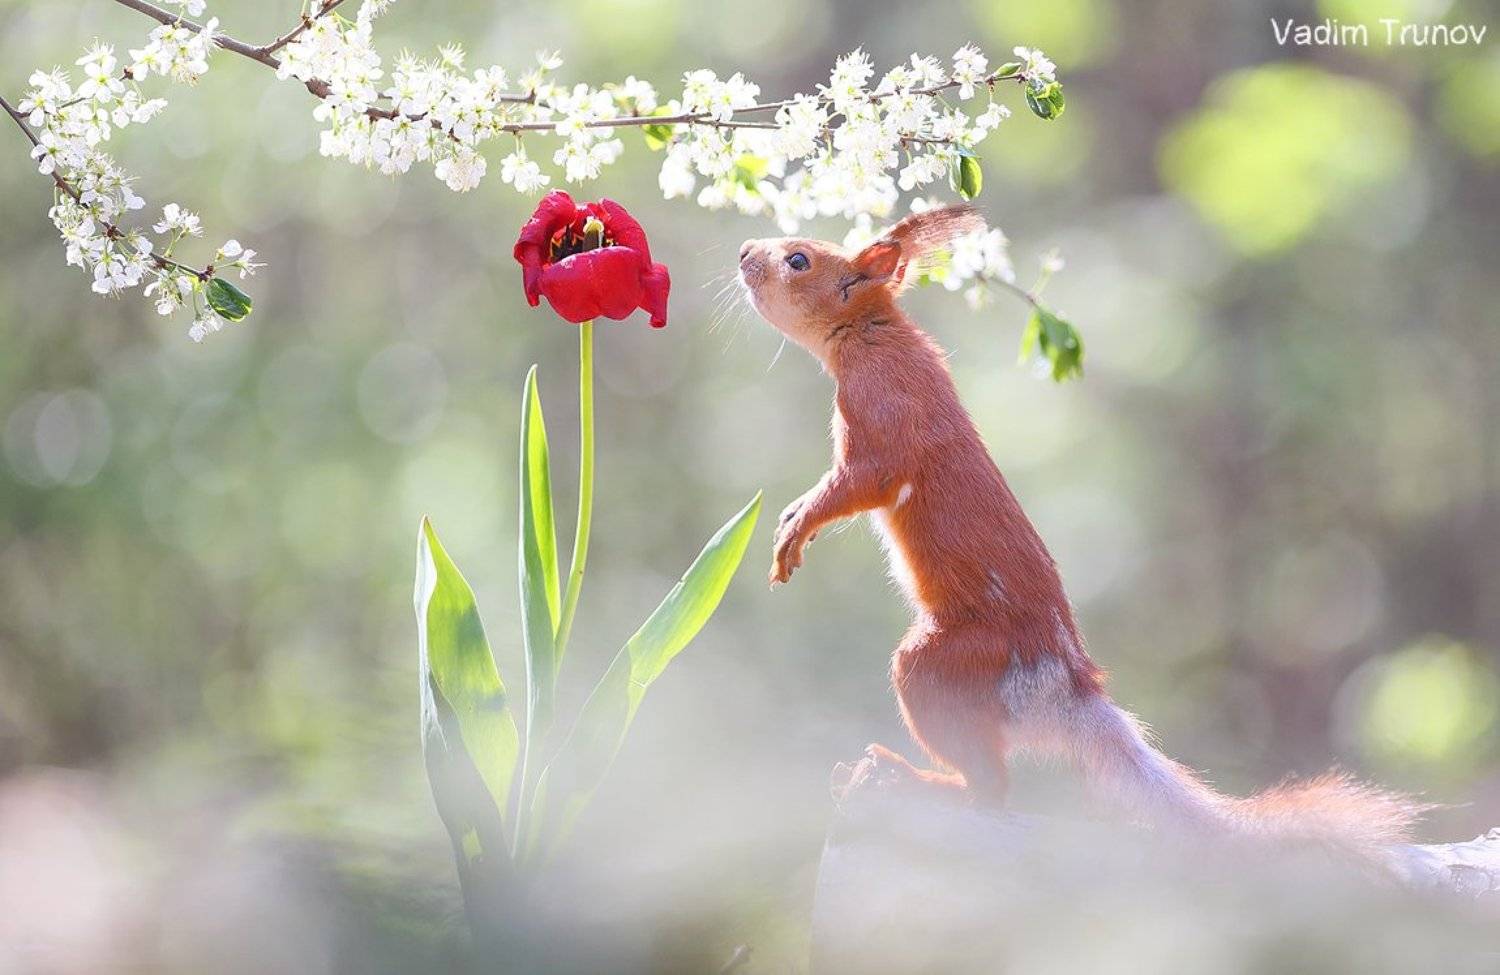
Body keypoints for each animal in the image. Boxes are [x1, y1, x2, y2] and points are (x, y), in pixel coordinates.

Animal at [737, 204, 1423, 864]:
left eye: (798, 259)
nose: (744, 251)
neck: (873, 334)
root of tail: (1066, 691)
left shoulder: (882, 413)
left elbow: (861, 483)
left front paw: (797, 527)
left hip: (947, 664)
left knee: (991, 789)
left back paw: (912, 778)